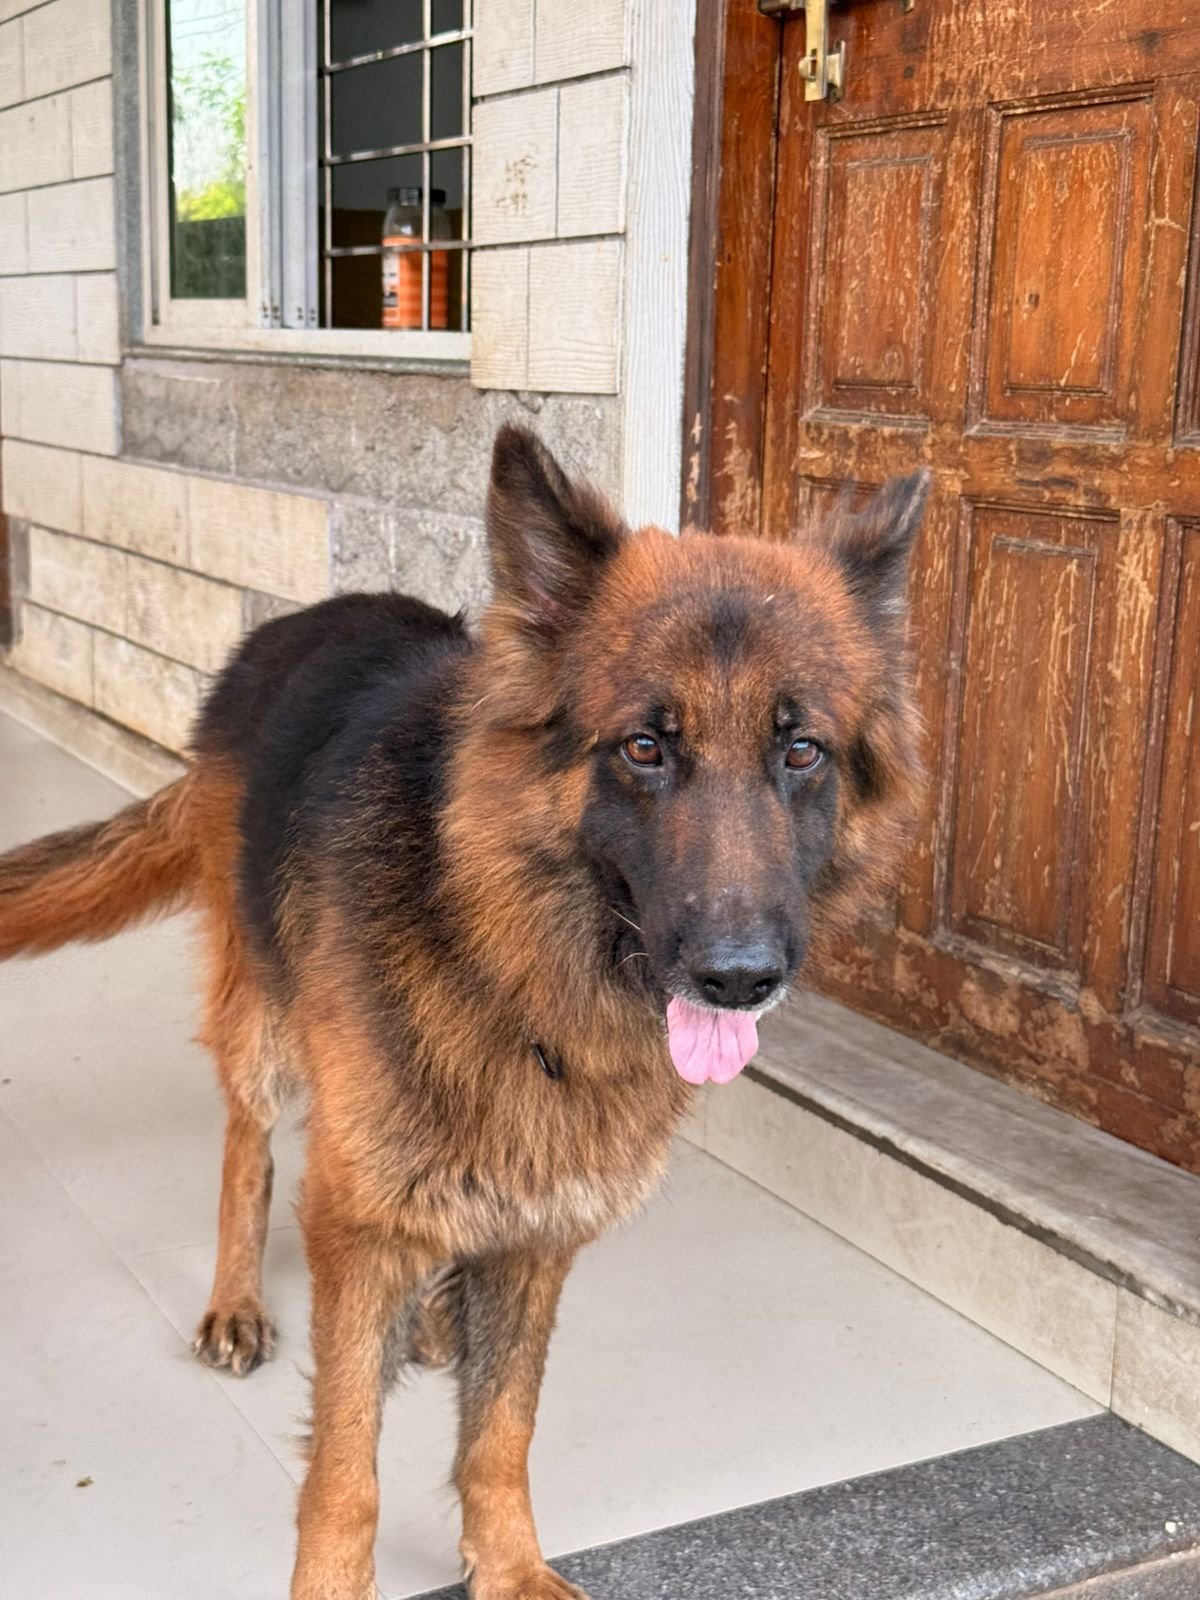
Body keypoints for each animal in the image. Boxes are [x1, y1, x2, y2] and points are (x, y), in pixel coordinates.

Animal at [0, 426, 928, 1600]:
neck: (510, 963)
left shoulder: (541, 1236)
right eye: (645, 747)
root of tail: (298, 620)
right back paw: (239, 1295)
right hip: (266, 1030)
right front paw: (332, 1579)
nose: (738, 977)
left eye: (800, 750)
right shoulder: (361, 1218)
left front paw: (509, 1565)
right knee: (249, 1146)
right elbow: (345, 1468)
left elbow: (501, 1430)